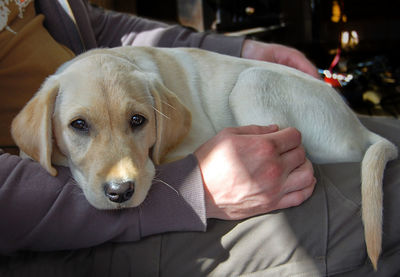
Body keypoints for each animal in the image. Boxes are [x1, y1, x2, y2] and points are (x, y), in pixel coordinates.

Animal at [11, 45, 396, 268]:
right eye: (78, 125)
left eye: (138, 121)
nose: (120, 192)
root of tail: (358, 126)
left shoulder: (194, 142)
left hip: (252, 83)